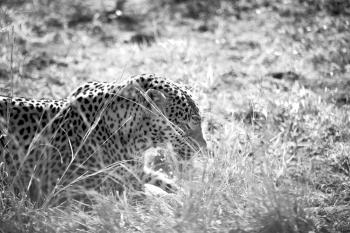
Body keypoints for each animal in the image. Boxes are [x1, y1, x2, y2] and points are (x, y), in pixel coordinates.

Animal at [0, 73, 206, 204]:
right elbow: (148, 196)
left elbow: (161, 181)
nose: (202, 147)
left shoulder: (136, 172)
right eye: (186, 126)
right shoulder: (80, 192)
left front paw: (188, 194)